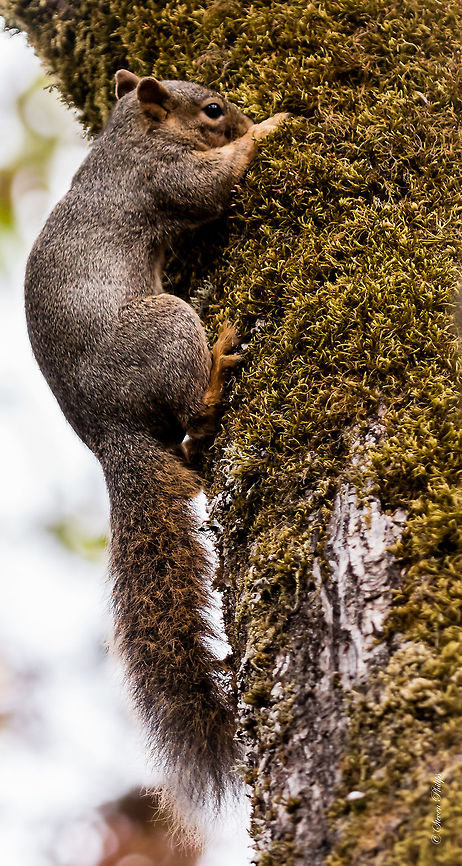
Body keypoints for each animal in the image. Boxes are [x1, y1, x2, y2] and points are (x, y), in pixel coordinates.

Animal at [24, 68, 287, 816]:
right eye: (212, 109)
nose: (244, 116)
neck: (130, 137)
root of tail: (110, 435)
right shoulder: (160, 179)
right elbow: (210, 186)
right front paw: (270, 129)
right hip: (167, 323)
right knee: (194, 410)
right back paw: (219, 362)